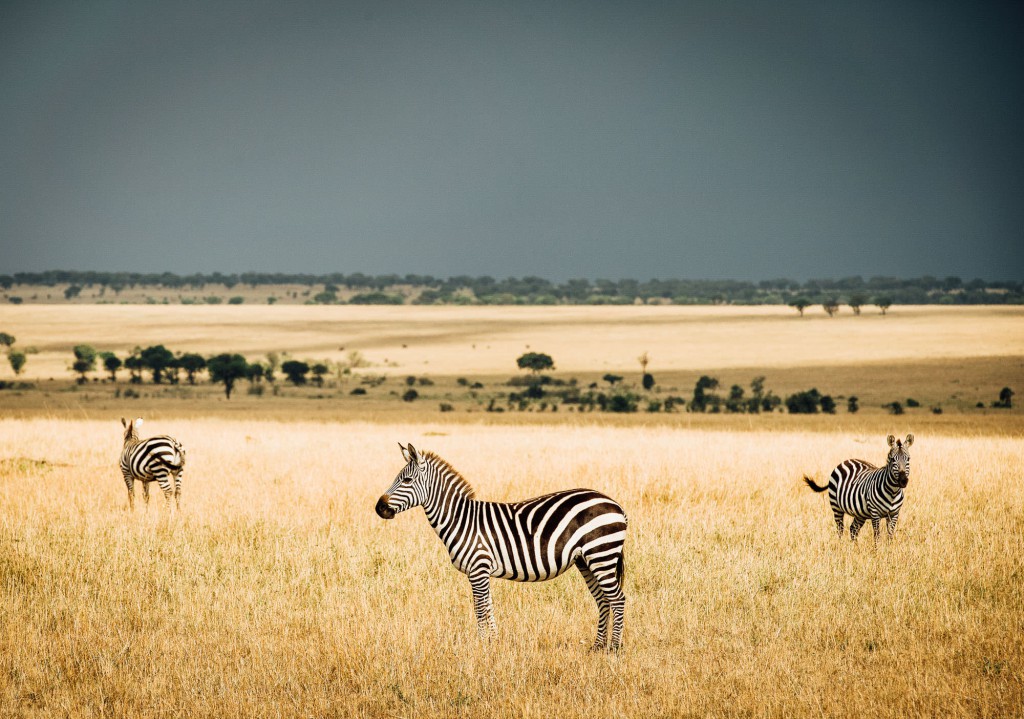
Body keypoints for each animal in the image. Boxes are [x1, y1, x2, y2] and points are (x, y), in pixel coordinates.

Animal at [375, 443, 628, 651]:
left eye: (406, 481)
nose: (379, 508)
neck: (460, 519)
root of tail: (615, 505)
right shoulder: (480, 571)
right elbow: (488, 606)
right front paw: (493, 643)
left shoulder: (478, 567)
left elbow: (480, 608)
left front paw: (481, 646)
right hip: (586, 560)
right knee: (602, 599)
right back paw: (597, 646)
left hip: (601, 554)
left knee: (617, 599)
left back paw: (614, 649)